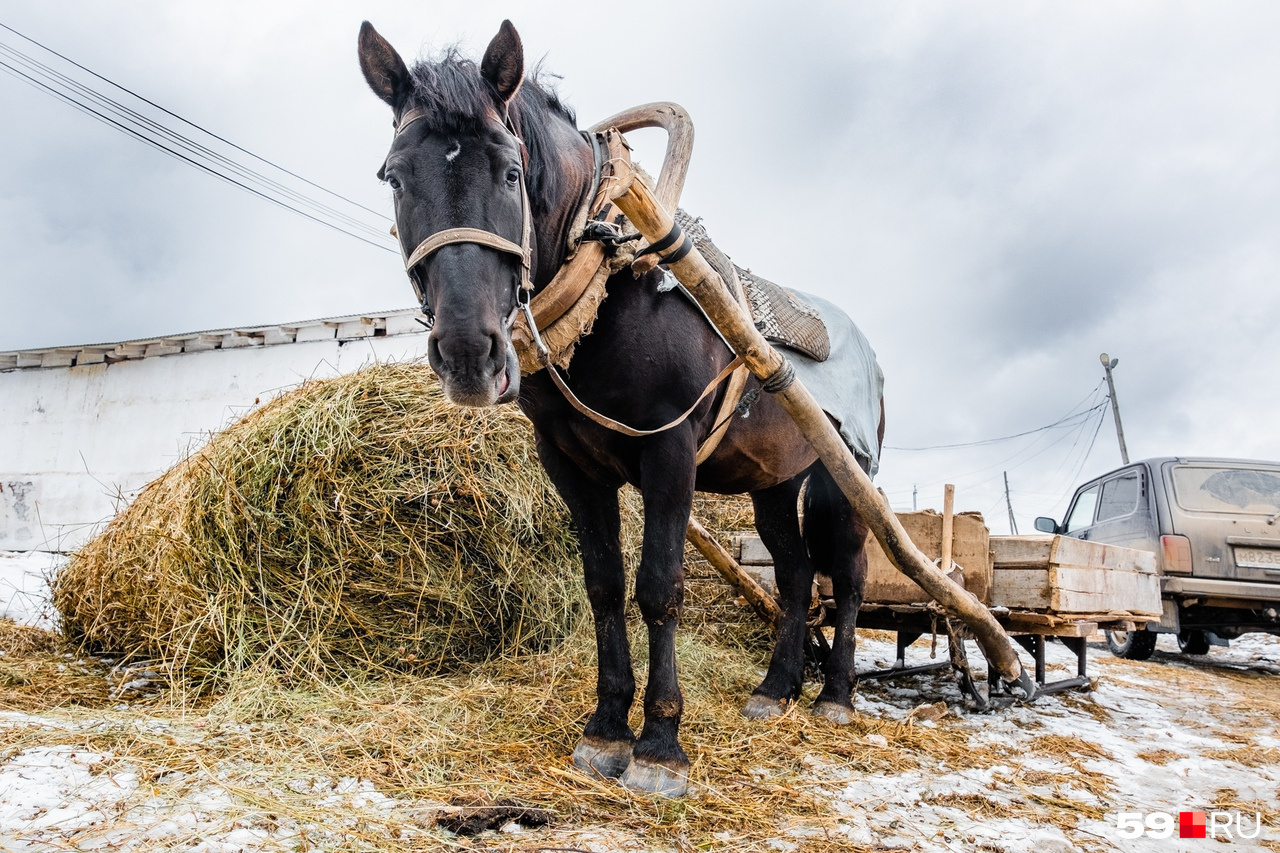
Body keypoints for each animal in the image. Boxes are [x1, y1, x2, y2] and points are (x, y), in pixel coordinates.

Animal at [355, 19, 885, 794]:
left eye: (510, 172)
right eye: (395, 176)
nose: (468, 354)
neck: (609, 276)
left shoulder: (669, 451)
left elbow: (658, 587)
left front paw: (660, 743)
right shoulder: (571, 463)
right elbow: (603, 586)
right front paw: (606, 726)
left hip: (843, 478)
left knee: (844, 577)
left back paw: (835, 695)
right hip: (771, 481)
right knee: (791, 575)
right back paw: (776, 687)